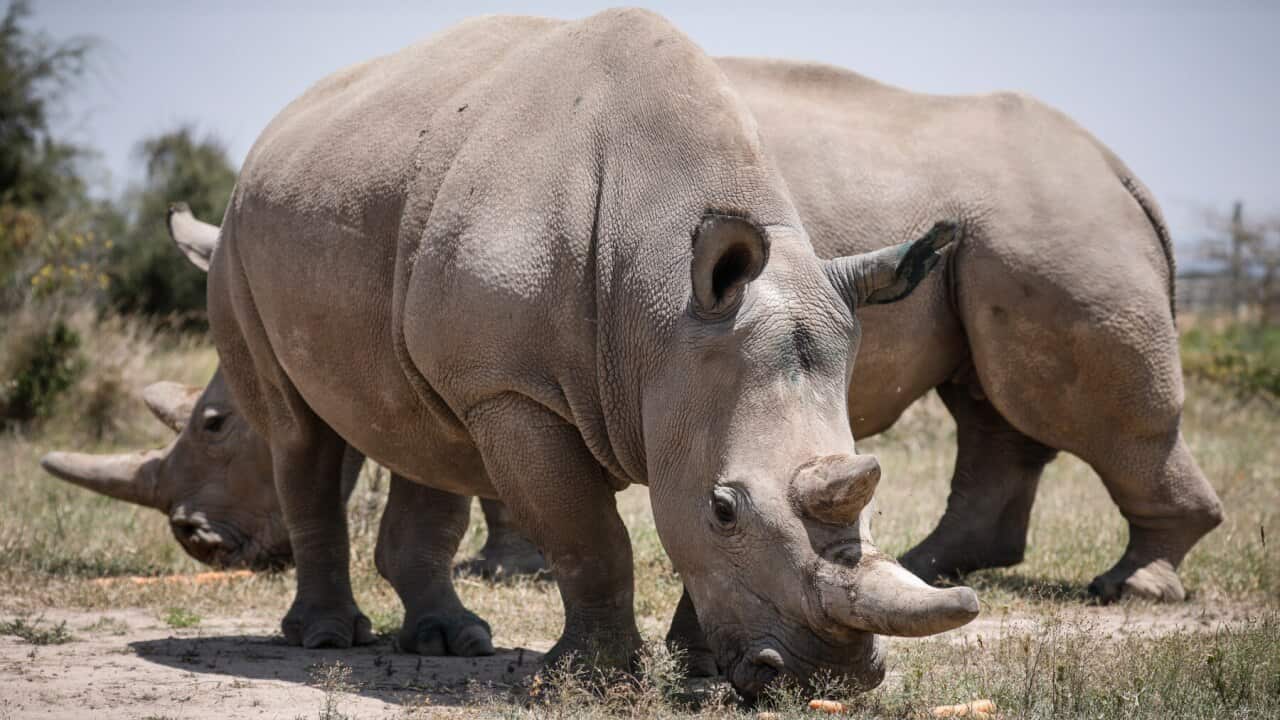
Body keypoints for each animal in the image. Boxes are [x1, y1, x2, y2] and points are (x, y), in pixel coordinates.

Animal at [43, 10, 981, 697]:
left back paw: (448, 644)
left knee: (416, 427)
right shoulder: (515, 390)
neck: (659, 311)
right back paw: (329, 638)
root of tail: (276, 132)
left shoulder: (684, 379)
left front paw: (701, 665)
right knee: (300, 434)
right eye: (726, 508)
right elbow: (589, 533)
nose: (834, 682)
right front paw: (595, 676)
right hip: (239, 244)